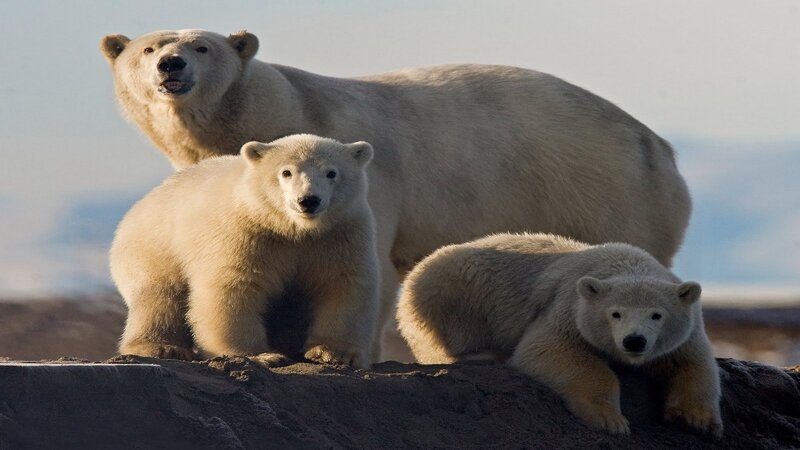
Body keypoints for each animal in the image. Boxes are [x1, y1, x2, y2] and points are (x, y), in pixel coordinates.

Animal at [110, 134, 380, 368]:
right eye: (286, 172)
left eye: (331, 172)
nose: (308, 200)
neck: (292, 229)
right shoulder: (245, 234)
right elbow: (234, 286)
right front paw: (260, 355)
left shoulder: (338, 235)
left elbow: (342, 283)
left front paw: (332, 352)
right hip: (156, 245)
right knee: (160, 296)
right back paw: (162, 347)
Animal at [396, 233, 722, 436]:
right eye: (615, 313)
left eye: (657, 314)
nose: (634, 340)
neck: (629, 263)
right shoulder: (569, 306)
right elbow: (552, 349)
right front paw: (610, 419)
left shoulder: (688, 329)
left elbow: (694, 364)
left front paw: (697, 419)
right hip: (452, 291)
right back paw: (485, 354)